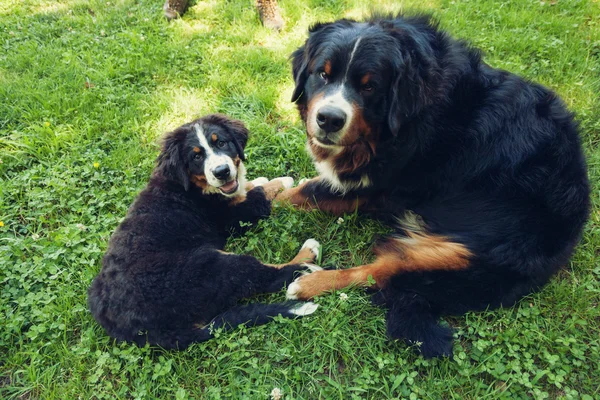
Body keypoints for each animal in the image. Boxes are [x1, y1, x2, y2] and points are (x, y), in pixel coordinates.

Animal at [88, 114, 324, 348]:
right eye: (196, 157)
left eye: (221, 143)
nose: (222, 172)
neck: (189, 187)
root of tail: (149, 333)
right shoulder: (235, 217)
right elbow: (262, 195)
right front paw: (281, 181)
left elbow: (247, 187)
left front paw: (255, 180)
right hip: (211, 263)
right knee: (264, 277)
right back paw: (307, 261)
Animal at [276, 14, 592, 358]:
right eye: (323, 73)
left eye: (370, 86)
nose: (330, 119)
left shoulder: (381, 186)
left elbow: (307, 192)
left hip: (460, 256)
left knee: (378, 272)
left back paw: (308, 282)